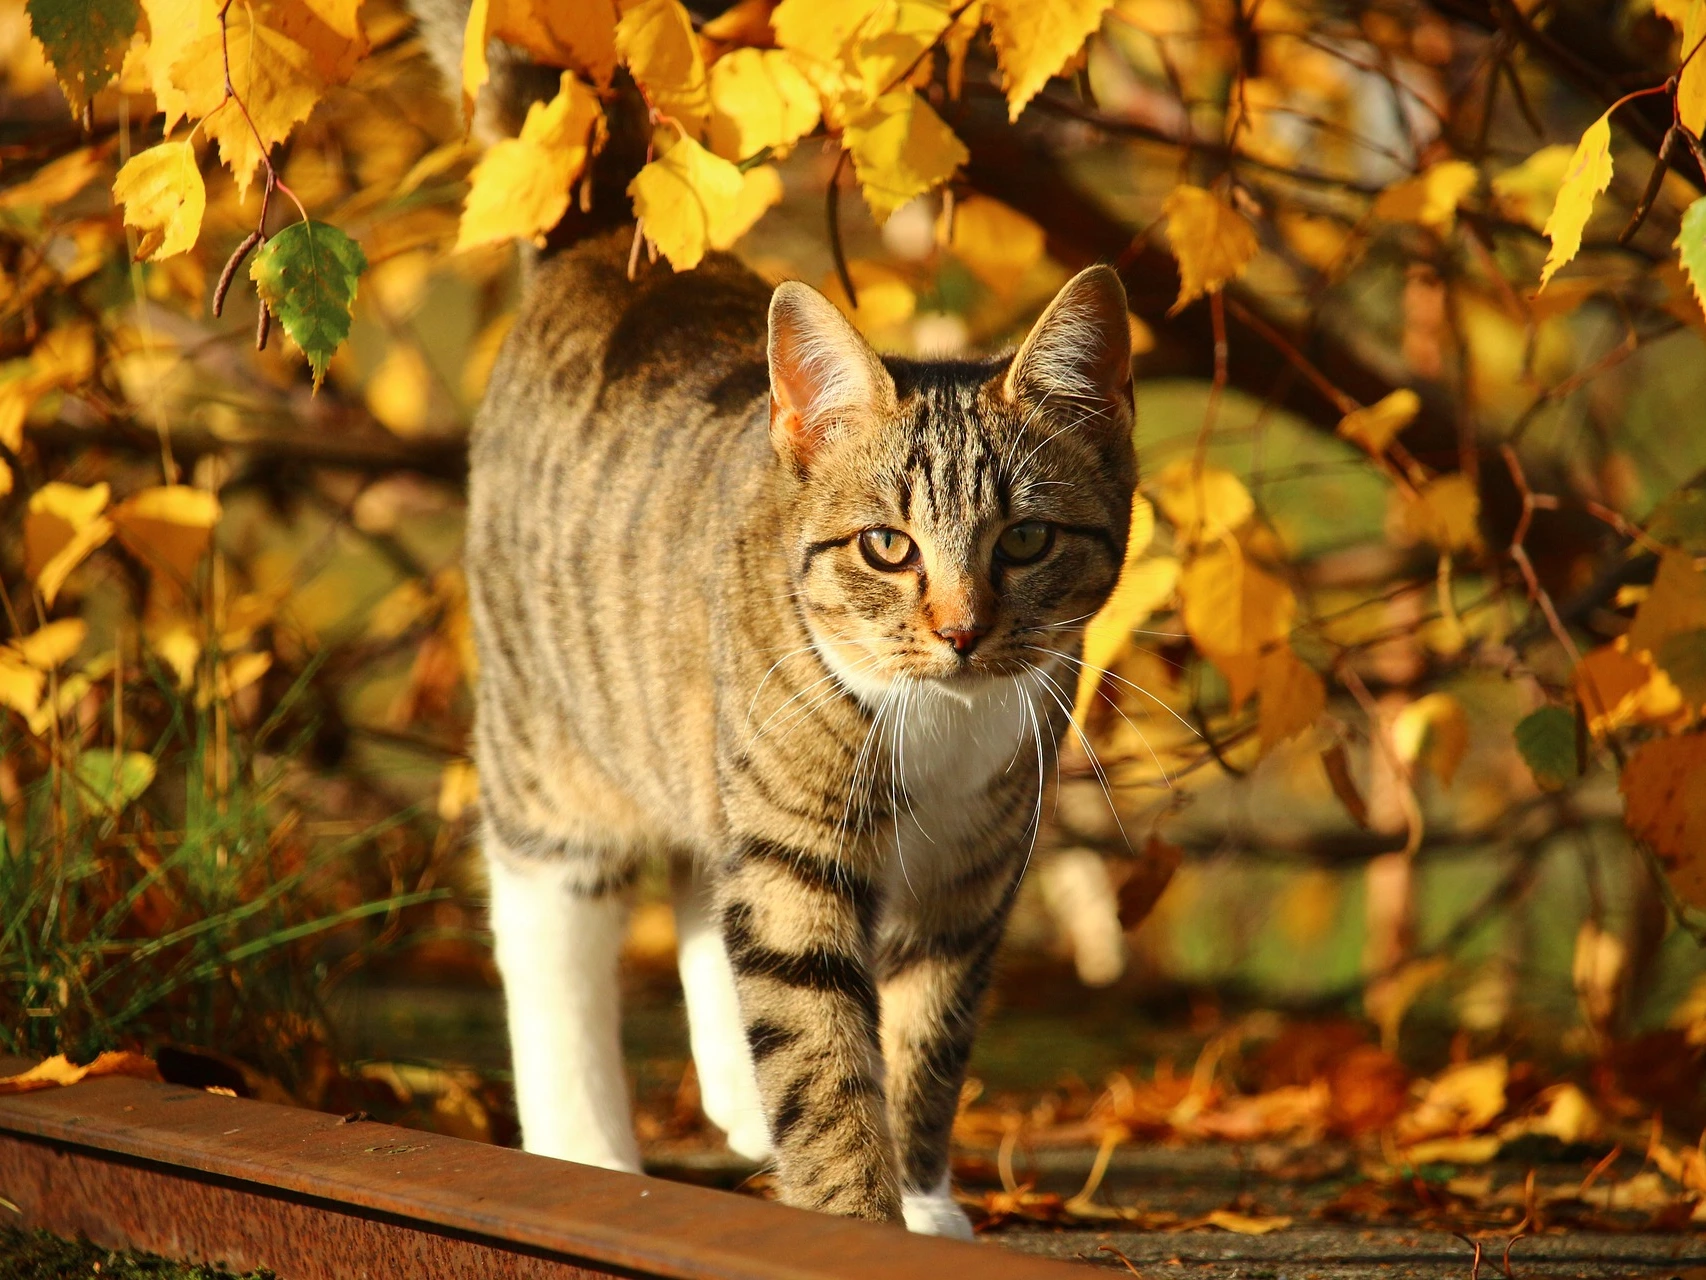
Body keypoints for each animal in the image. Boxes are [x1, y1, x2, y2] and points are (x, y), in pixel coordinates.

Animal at [433, 7, 1139, 1242]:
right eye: (887, 548)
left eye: (1024, 542)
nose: (960, 630)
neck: (937, 724)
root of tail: (602, 251)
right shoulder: (795, 844)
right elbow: (820, 1047)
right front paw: (853, 1216)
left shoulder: (973, 877)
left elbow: (921, 1041)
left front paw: (920, 1199)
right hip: (553, 741)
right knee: (549, 919)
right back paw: (585, 1146)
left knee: (707, 890)